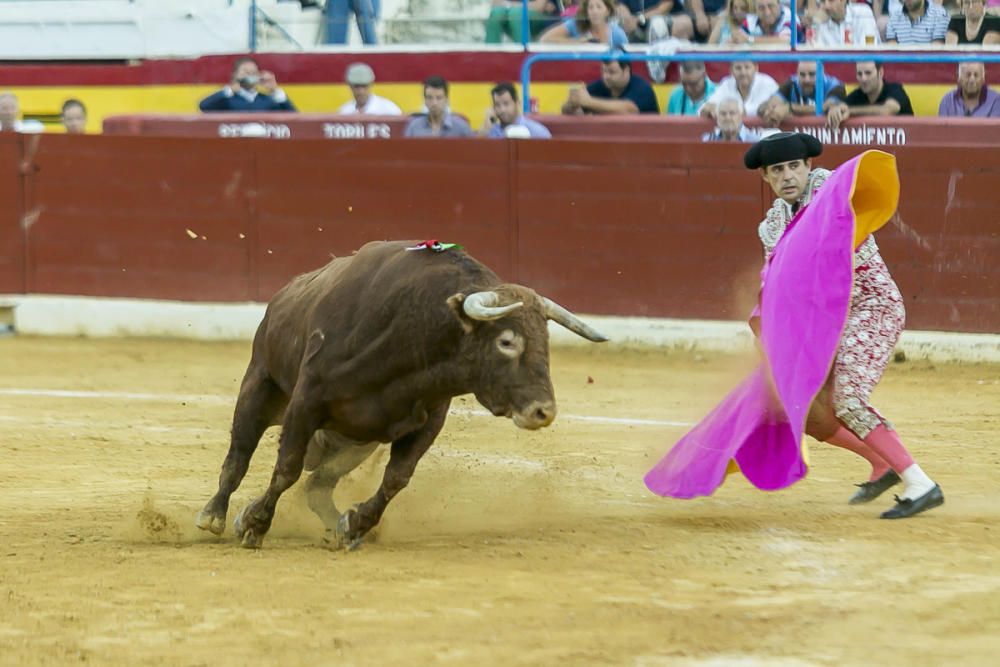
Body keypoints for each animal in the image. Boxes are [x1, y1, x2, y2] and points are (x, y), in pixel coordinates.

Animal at [192, 243, 604, 552]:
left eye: (545, 341)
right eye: (507, 341)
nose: (543, 411)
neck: (411, 332)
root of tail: (284, 295)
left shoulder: (427, 421)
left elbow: (396, 479)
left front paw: (356, 524)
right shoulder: (305, 404)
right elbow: (286, 468)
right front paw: (253, 523)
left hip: (358, 442)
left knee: (318, 486)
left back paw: (341, 528)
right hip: (260, 385)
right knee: (239, 457)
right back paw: (214, 515)